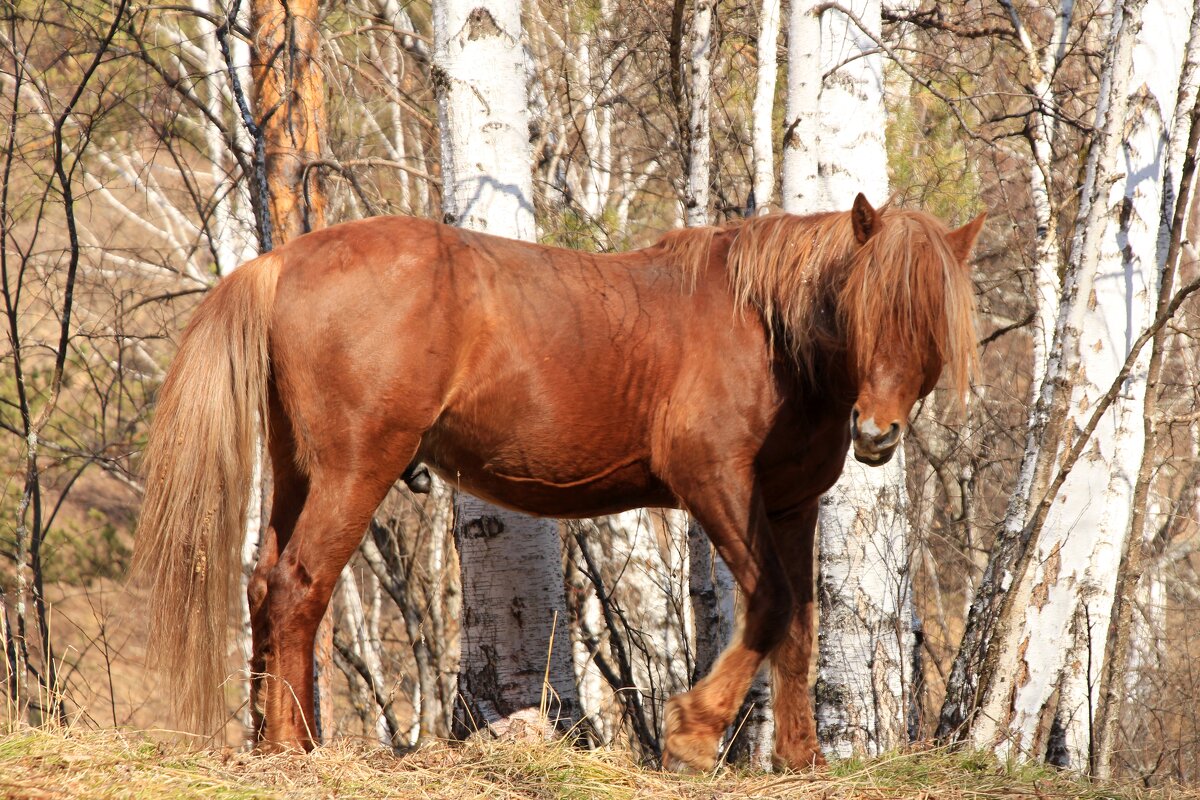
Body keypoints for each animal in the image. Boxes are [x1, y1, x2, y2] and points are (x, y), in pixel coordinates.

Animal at [133, 191, 984, 767]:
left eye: (928, 322)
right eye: (863, 307)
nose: (876, 432)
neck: (766, 331)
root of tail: (282, 261)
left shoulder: (790, 505)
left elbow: (799, 625)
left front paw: (801, 760)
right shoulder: (713, 481)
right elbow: (771, 604)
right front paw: (692, 732)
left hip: (297, 469)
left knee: (264, 584)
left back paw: (273, 738)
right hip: (354, 469)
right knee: (298, 588)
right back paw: (291, 749)